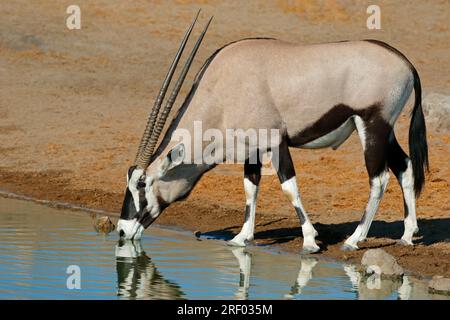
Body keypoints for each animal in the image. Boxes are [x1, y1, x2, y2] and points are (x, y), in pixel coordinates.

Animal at [117, 11, 428, 254]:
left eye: (142, 185)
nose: (121, 230)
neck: (222, 90)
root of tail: (406, 63)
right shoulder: (250, 149)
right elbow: (250, 187)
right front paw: (241, 237)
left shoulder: (275, 142)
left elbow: (289, 186)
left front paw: (310, 240)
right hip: (385, 130)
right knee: (405, 166)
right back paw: (407, 235)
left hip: (372, 126)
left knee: (379, 179)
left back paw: (354, 239)